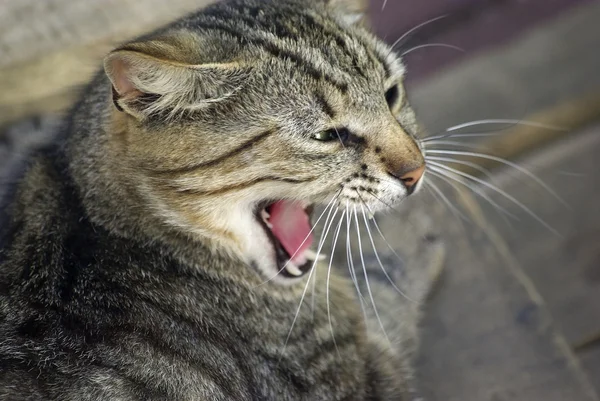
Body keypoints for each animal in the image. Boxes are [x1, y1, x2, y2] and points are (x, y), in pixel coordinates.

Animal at [0, 0, 440, 400]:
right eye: (326, 136)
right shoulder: (363, 376)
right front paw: (407, 236)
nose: (416, 172)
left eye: (392, 94)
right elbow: (387, 295)